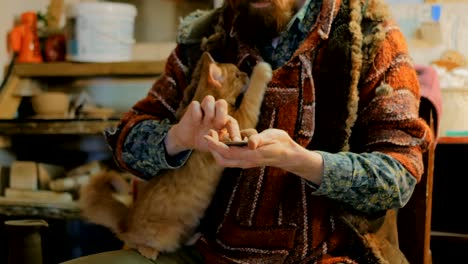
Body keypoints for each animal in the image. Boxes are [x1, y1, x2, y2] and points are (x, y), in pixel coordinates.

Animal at [78, 52, 272, 260]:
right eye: (236, 74)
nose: (245, 73)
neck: (205, 98)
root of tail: (126, 221)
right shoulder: (242, 116)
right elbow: (252, 94)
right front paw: (262, 70)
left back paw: (194, 237)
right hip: (163, 235)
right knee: (135, 243)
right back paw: (149, 251)